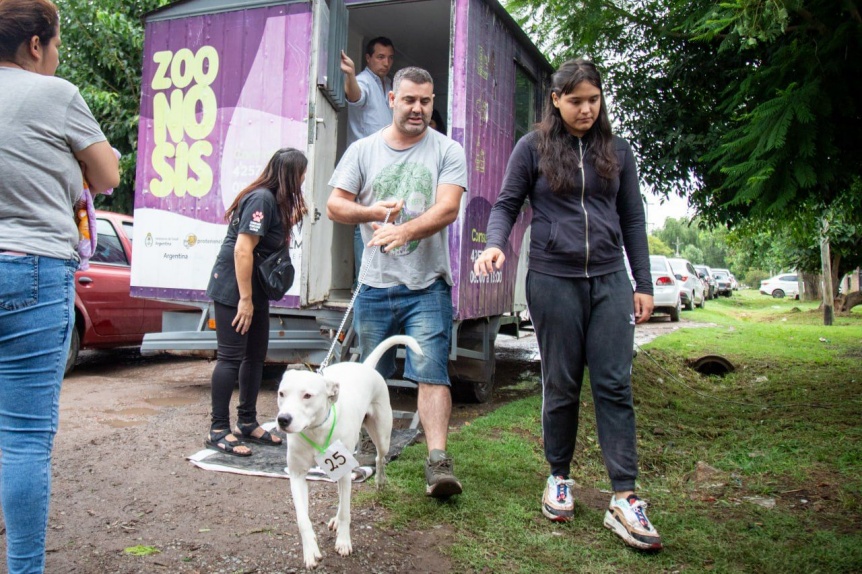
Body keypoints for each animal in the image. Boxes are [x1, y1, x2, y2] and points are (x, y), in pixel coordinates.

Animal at [278, 336, 424, 568]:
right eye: (281, 393)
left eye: (307, 395)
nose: (283, 419)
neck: (316, 430)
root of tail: (365, 366)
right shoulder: (297, 475)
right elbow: (303, 519)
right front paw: (310, 551)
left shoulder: (344, 469)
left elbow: (347, 511)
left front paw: (344, 542)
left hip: (382, 434)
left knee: (380, 457)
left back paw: (380, 482)